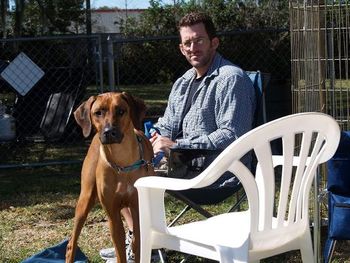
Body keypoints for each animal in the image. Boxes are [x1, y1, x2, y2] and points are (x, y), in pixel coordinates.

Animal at [65, 92, 154, 262]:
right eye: (98, 112)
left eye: (121, 111)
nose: (108, 132)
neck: (122, 163)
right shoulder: (112, 216)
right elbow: (120, 250)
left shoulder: (138, 209)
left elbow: (138, 242)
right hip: (85, 200)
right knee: (71, 244)